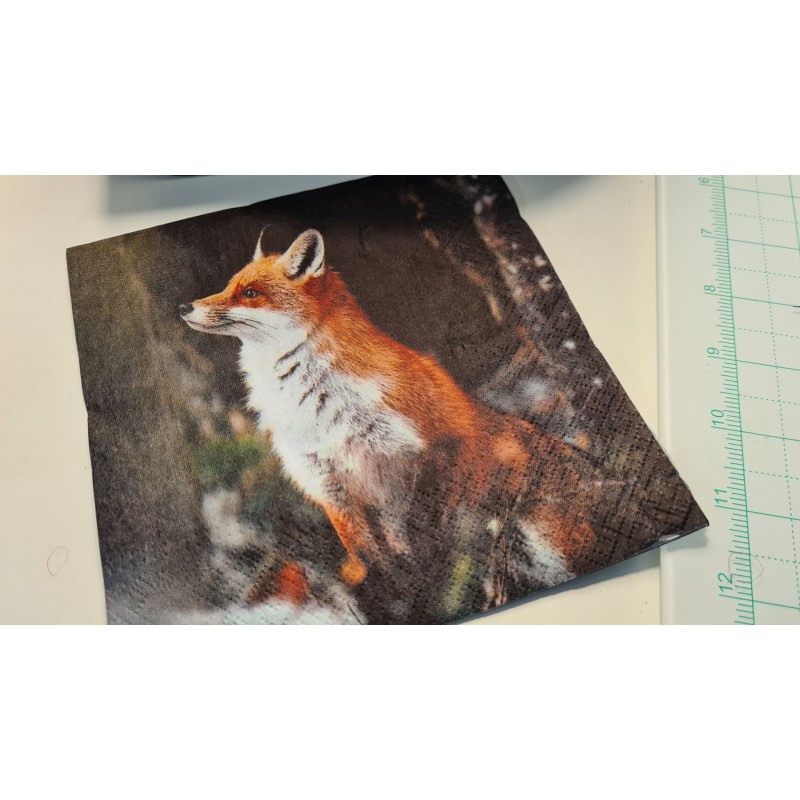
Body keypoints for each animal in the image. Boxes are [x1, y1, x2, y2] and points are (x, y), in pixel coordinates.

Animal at [180, 228, 603, 603]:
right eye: (228, 286)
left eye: (250, 293)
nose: (185, 307)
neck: (318, 408)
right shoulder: (327, 481)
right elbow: (370, 556)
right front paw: (391, 587)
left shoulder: (429, 453)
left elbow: (424, 542)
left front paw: (421, 581)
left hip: (544, 546)